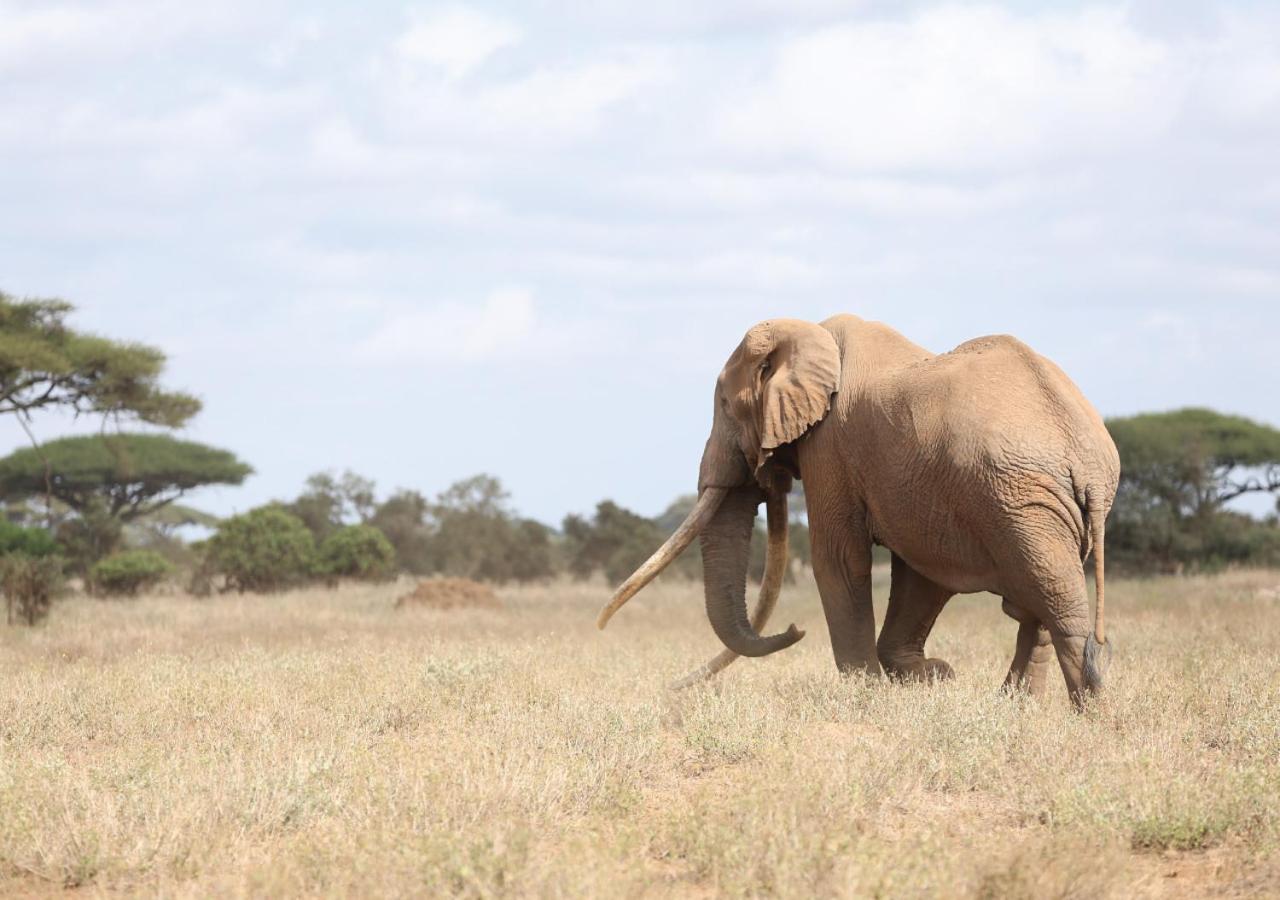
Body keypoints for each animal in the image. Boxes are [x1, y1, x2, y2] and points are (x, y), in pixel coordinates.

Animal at [593, 313, 1116, 706]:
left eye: (724, 404)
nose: (794, 628)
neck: (809, 334)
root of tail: (1086, 456)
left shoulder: (831, 448)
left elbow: (839, 560)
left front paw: (870, 692)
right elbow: (920, 572)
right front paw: (931, 676)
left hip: (1020, 498)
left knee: (1055, 604)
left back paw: (1088, 713)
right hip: (1027, 503)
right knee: (1038, 604)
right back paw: (1016, 707)